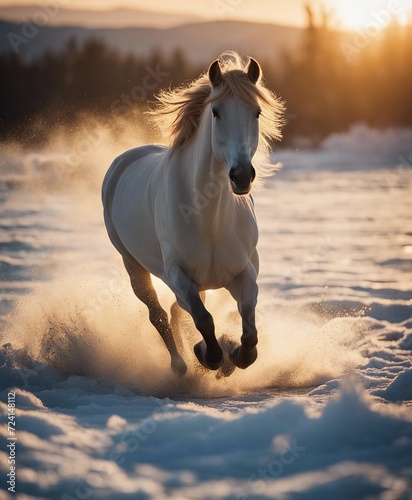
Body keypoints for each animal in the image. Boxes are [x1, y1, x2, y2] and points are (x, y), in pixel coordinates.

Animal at [102, 52, 284, 376]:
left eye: (257, 112)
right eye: (216, 112)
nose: (241, 176)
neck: (208, 222)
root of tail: (124, 160)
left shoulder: (244, 272)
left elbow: (249, 326)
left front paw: (236, 356)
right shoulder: (178, 275)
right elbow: (203, 319)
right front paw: (208, 355)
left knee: (175, 311)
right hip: (133, 266)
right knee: (158, 314)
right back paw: (179, 365)